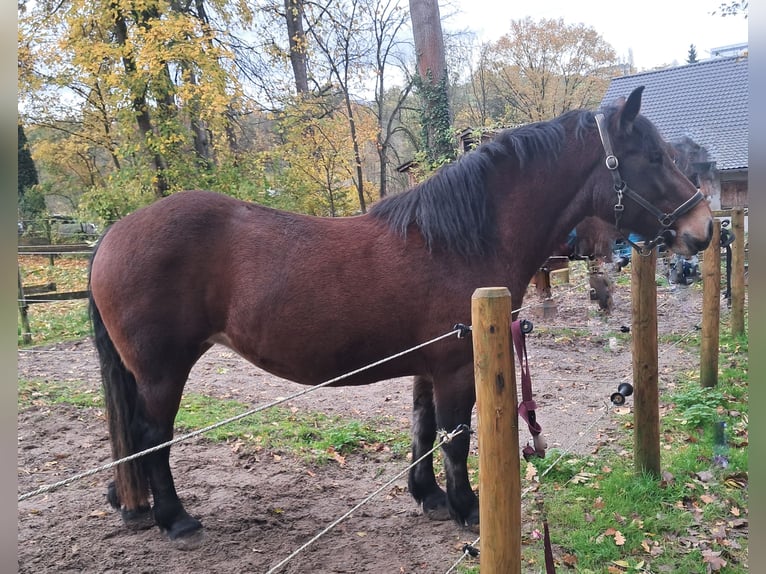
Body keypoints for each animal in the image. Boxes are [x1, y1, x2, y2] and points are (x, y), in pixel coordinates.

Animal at [88, 86, 713, 548]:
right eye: (654, 158)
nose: (704, 230)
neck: (461, 240)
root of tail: (114, 234)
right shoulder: (457, 368)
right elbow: (456, 438)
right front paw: (467, 508)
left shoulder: (427, 366)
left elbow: (422, 429)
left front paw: (428, 497)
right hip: (162, 372)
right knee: (152, 438)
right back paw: (176, 519)